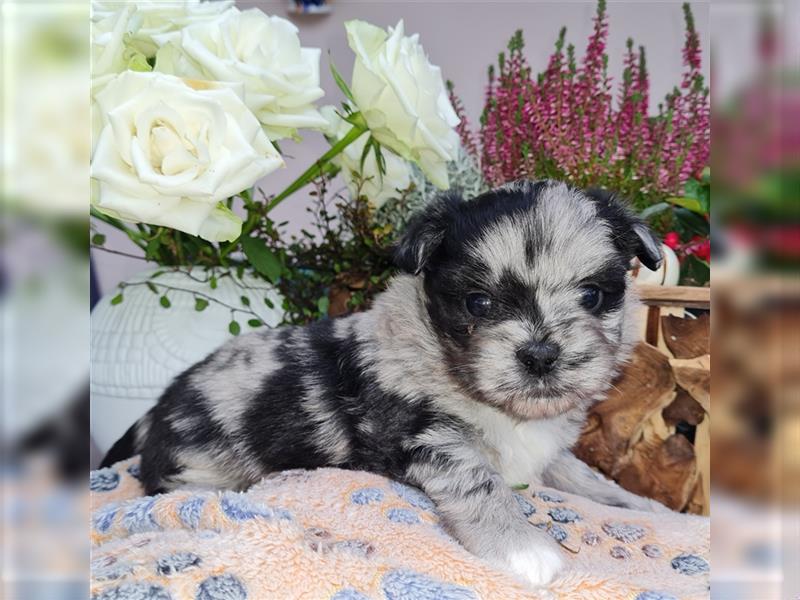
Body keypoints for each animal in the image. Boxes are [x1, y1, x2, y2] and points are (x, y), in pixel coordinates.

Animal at [103, 180, 672, 588]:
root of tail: (155, 414)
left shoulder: (546, 447)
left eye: (593, 295)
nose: (540, 355)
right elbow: (478, 480)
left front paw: (637, 504)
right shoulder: (422, 434)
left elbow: (581, 473)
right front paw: (522, 547)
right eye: (479, 303)